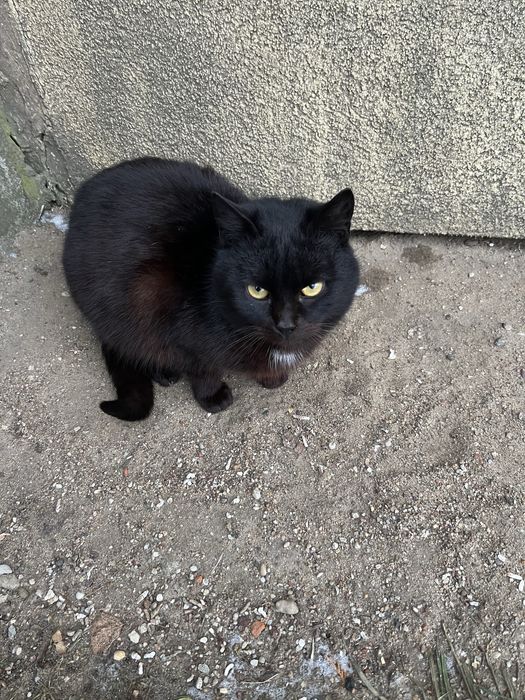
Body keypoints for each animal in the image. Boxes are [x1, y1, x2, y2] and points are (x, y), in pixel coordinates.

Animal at [63, 158, 359, 421]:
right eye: (257, 290)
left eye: (312, 287)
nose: (285, 324)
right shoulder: (180, 330)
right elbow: (202, 367)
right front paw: (213, 397)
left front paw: (272, 377)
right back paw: (164, 372)